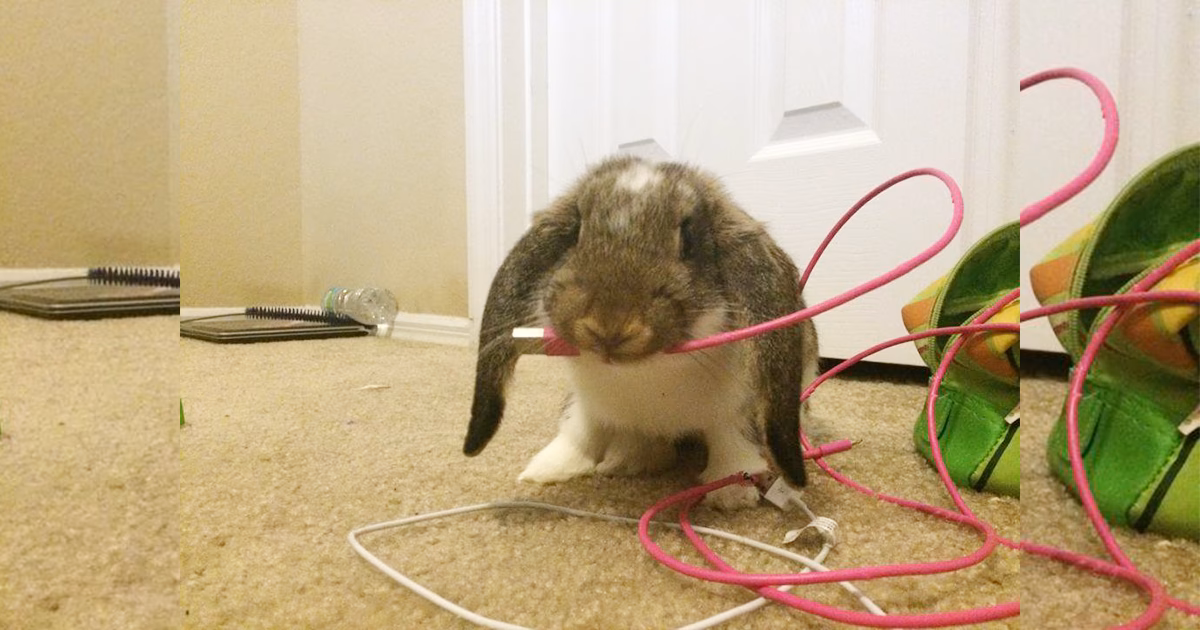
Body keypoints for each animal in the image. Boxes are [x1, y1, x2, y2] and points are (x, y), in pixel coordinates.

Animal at [464, 155, 819, 510]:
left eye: (688, 239)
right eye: (576, 231)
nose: (608, 327)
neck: (642, 373)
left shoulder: (737, 409)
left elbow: (733, 440)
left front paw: (731, 493)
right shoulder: (587, 405)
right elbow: (580, 431)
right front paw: (547, 470)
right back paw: (624, 460)